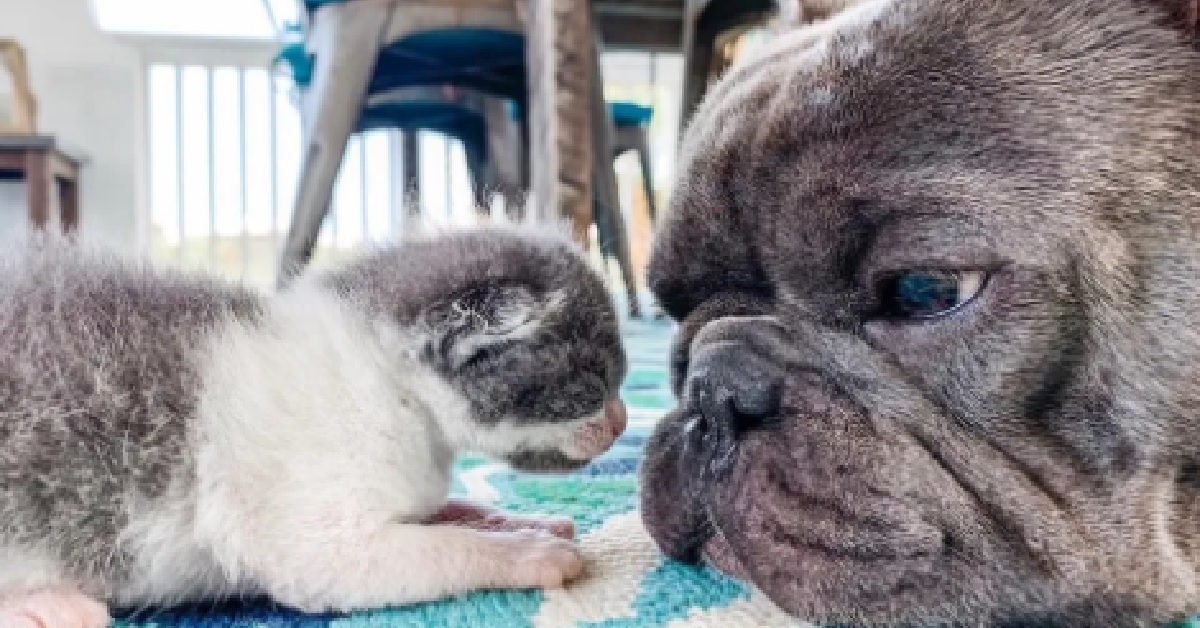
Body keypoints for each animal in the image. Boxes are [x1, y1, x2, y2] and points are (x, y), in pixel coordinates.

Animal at [0, 226, 628, 628]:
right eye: (595, 383)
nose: (623, 423)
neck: (398, 395)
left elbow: (450, 512)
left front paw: (518, 521)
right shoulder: (317, 548)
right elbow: (445, 548)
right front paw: (526, 554)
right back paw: (46, 606)